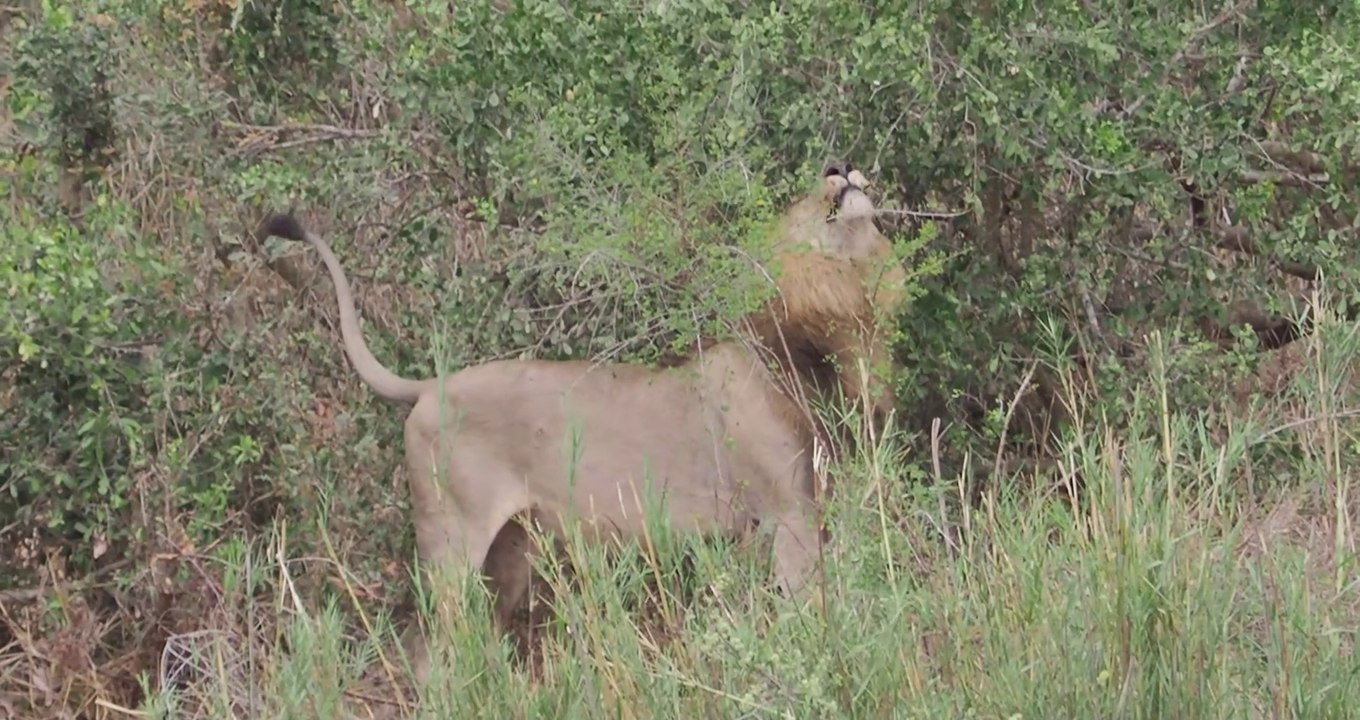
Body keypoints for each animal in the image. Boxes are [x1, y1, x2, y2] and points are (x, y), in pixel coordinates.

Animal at [258, 164, 905, 683]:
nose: (837, 166)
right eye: (799, 199)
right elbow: (809, 615)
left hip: (510, 554)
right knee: (429, 648)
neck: (822, 329)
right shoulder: (789, 514)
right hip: (451, 545)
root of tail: (428, 387)